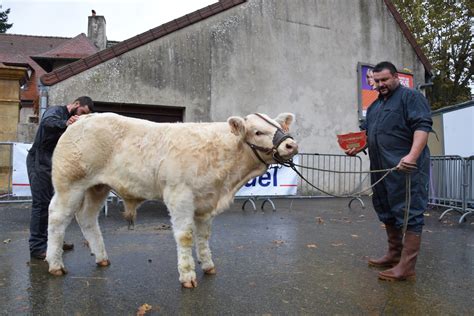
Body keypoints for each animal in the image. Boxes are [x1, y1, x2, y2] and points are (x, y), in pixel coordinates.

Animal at [46, 112, 298, 288]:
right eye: (258, 132)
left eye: (280, 127)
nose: (291, 144)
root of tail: (84, 118)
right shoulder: (180, 196)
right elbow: (185, 236)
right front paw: (187, 275)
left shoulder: (206, 202)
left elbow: (204, 236)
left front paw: (208, 265)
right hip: (70, 185)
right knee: (57, 218)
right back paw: (55, 264)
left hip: (97, 188)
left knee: (87, 218)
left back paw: (101, 258)